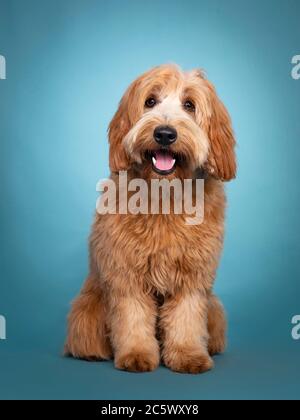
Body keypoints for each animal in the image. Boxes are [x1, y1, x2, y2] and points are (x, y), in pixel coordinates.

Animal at [65, 65, 237, 374]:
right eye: (150, 101)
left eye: (189, 105)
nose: (165, 134)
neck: (164, 193)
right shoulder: (126, 274)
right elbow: (132, 316)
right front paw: (136, 355)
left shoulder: (192, 277)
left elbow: (186, 317)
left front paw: (188, 354)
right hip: (87, 309)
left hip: (214, 308)